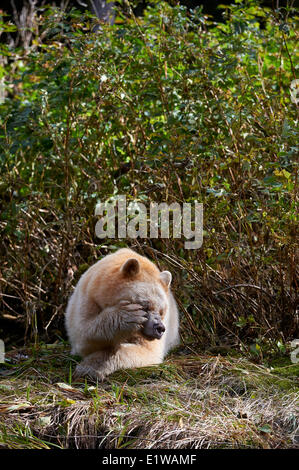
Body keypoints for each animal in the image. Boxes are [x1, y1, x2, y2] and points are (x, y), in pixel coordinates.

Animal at [65, 248, 180, 380]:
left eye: (162, 312)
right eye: (145, 306)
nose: (159, 328)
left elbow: (146, 350)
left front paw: (90, 368)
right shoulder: (89, 299)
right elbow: (84, 334)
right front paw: (127, 318)